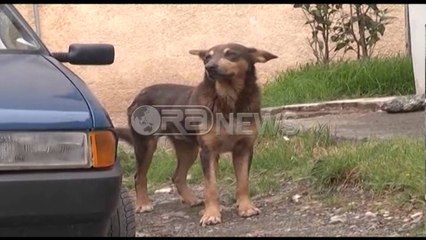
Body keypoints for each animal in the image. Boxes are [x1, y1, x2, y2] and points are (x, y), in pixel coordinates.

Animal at [115, 42, 276, 225]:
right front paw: (211, 214)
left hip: (188, 149)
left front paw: (246, 207)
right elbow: (210, 187)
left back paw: (191, 200)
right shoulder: (208, 152)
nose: (209, 67)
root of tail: (138, 95)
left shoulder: (244, 149)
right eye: (207, 57)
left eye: (231, 54)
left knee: (177, 176)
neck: (228, 99)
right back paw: (143, 204)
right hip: (146, 144)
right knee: (139, 176)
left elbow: (243, 183)